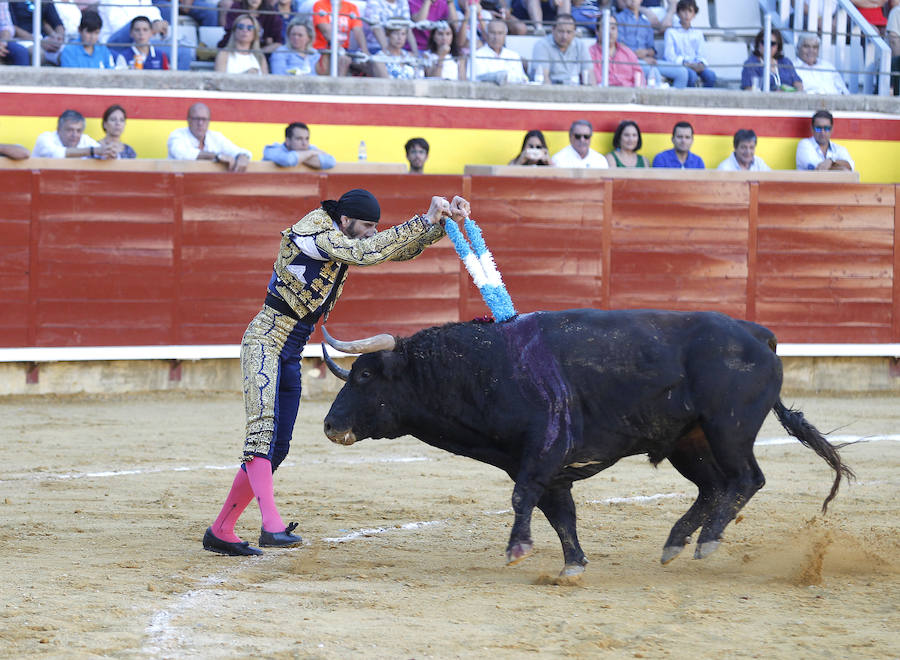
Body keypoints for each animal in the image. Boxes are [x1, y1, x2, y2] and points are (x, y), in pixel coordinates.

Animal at [322, 310, 852, 572]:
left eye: (365, 376)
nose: (329, 426)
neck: (488, 367)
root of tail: (758, 335)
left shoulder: (543, 451)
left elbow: (523, 499)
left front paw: (517, 550)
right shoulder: (545, 467)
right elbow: (559, 513)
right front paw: (573, 564)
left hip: (729, 429)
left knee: (746, 480)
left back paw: (706, 543)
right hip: (690, 441)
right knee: (713, 488)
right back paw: (676, 544)